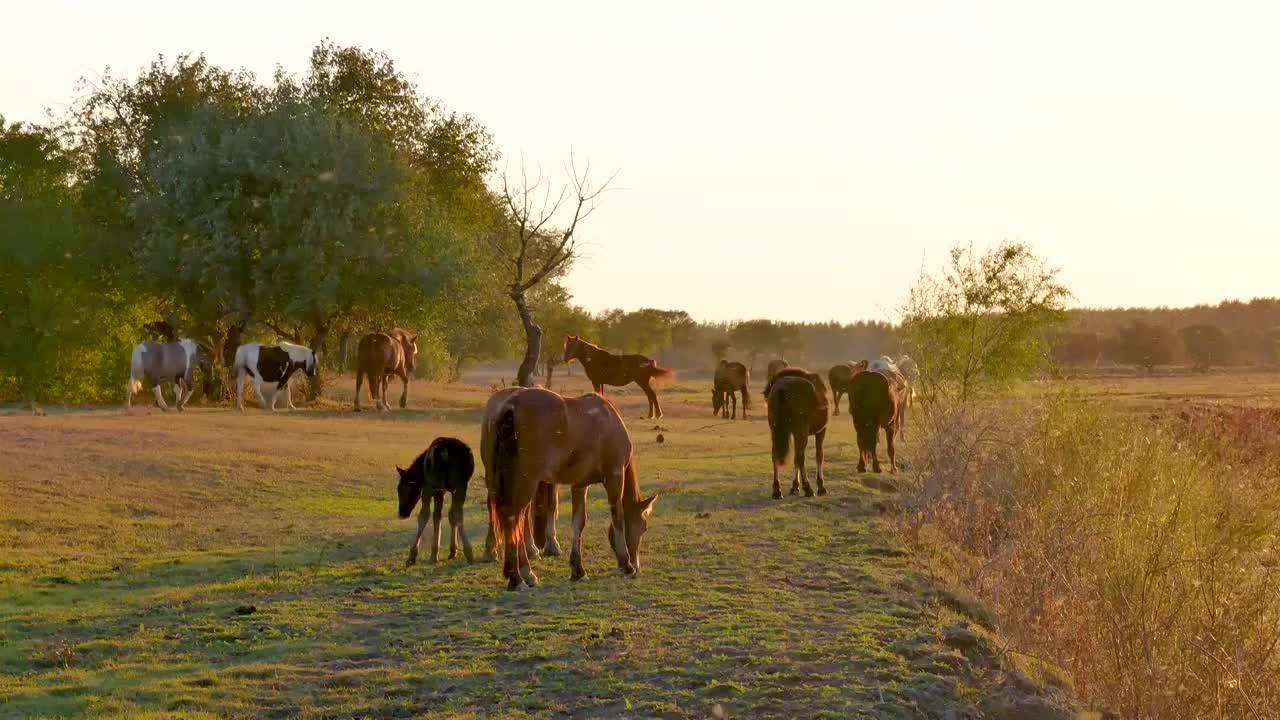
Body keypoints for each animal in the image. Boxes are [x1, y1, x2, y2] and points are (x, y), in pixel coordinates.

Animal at [391, 435, 478, 563]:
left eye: (400, 489)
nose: (402, 513)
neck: (421, 474)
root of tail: (445, 452)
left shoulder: (430, 488)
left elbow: (429, 516)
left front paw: (426, 554)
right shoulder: (450, 489)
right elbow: (450, 515)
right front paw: (453, 550)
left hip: (435, 486)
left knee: (430, 514)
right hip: (461, 485)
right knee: (457, 513)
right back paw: (469, 552)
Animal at [481, 386, 655, 589]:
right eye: (644, 527)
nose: (637, 566)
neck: (609, 421)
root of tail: (509, 406)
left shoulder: (580, 485)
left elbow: (578, 523)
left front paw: (578, 569)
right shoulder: (614, 477)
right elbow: (618, 517)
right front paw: (625, 563)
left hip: (500, 482)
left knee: (514, 520)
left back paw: (524, 571)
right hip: (525, 483)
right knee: (512, 519)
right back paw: (517, 577)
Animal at [757, 366, 829, 497]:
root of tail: (782, 389)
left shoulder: (793, 433)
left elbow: (796, 459)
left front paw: (795, 486)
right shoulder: (821, 431)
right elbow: (819, 455)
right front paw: (821, 486)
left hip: (776, 431)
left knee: (775, 455)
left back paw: (777, 490)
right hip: (802, 432)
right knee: (801, 457)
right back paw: (808, 488)